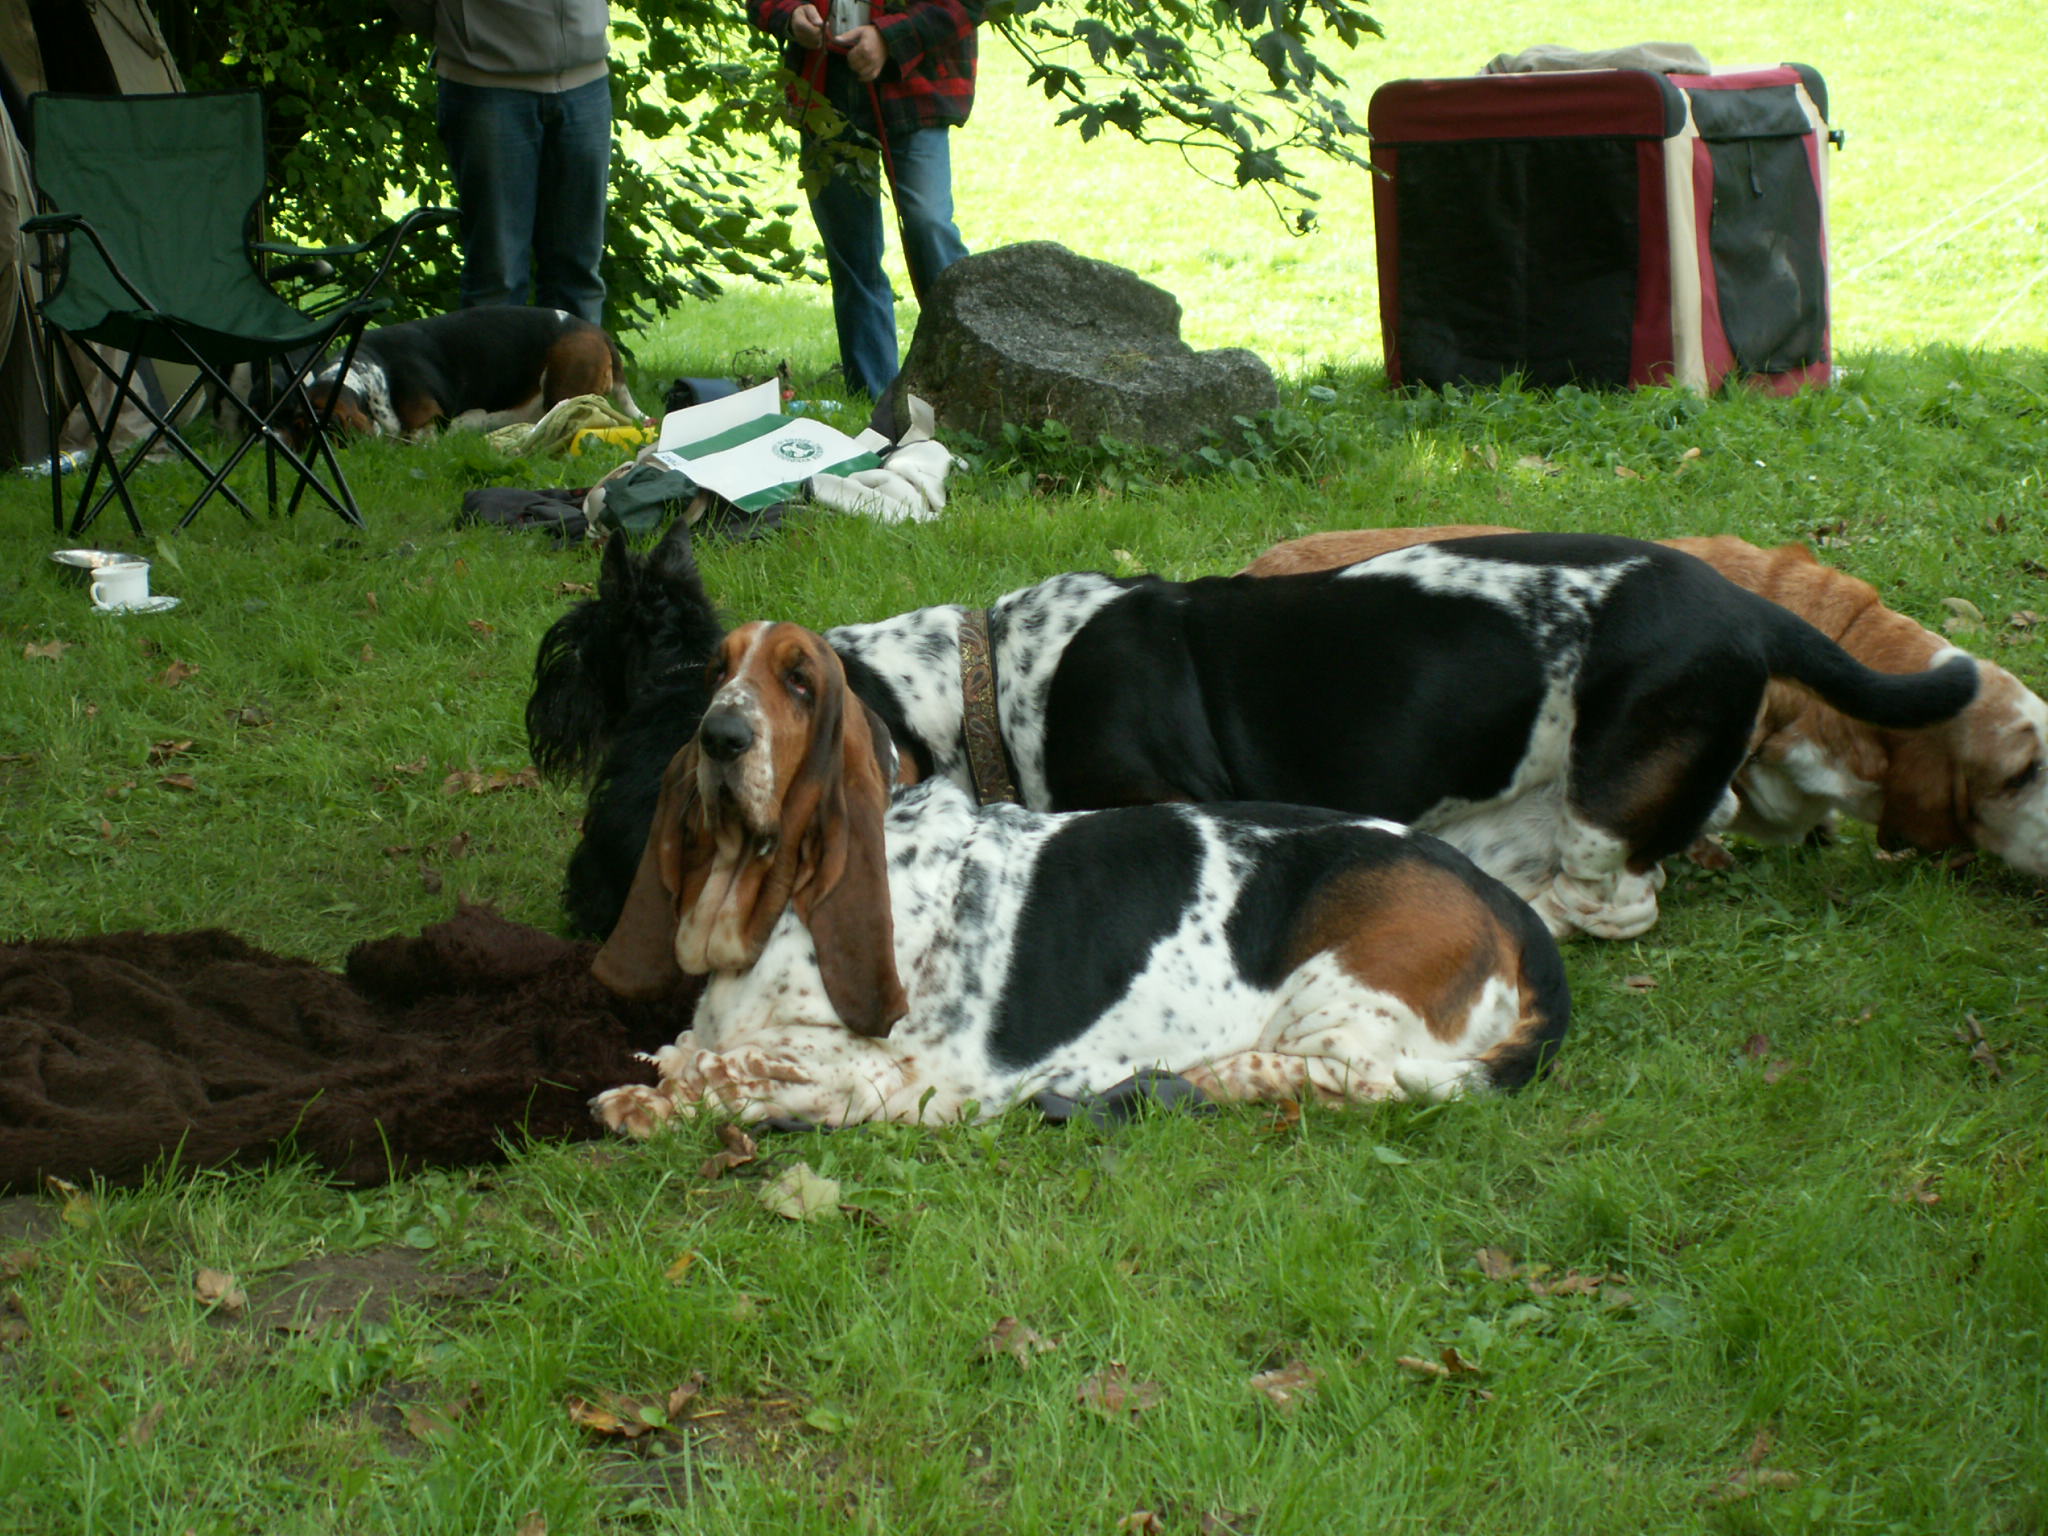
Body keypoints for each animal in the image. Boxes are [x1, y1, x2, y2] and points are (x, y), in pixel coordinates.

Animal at [585, 622, 1571, 1131]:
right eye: (717, 671)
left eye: (800, 682)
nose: (720, 736)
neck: (772, 900)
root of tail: (1511, 910)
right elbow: (699, 1049)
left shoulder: (880, 1071)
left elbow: (731, 1066)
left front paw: (640, 1099)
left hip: (1339, 1005)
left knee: (1352, 1080)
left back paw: (1201, 1079)